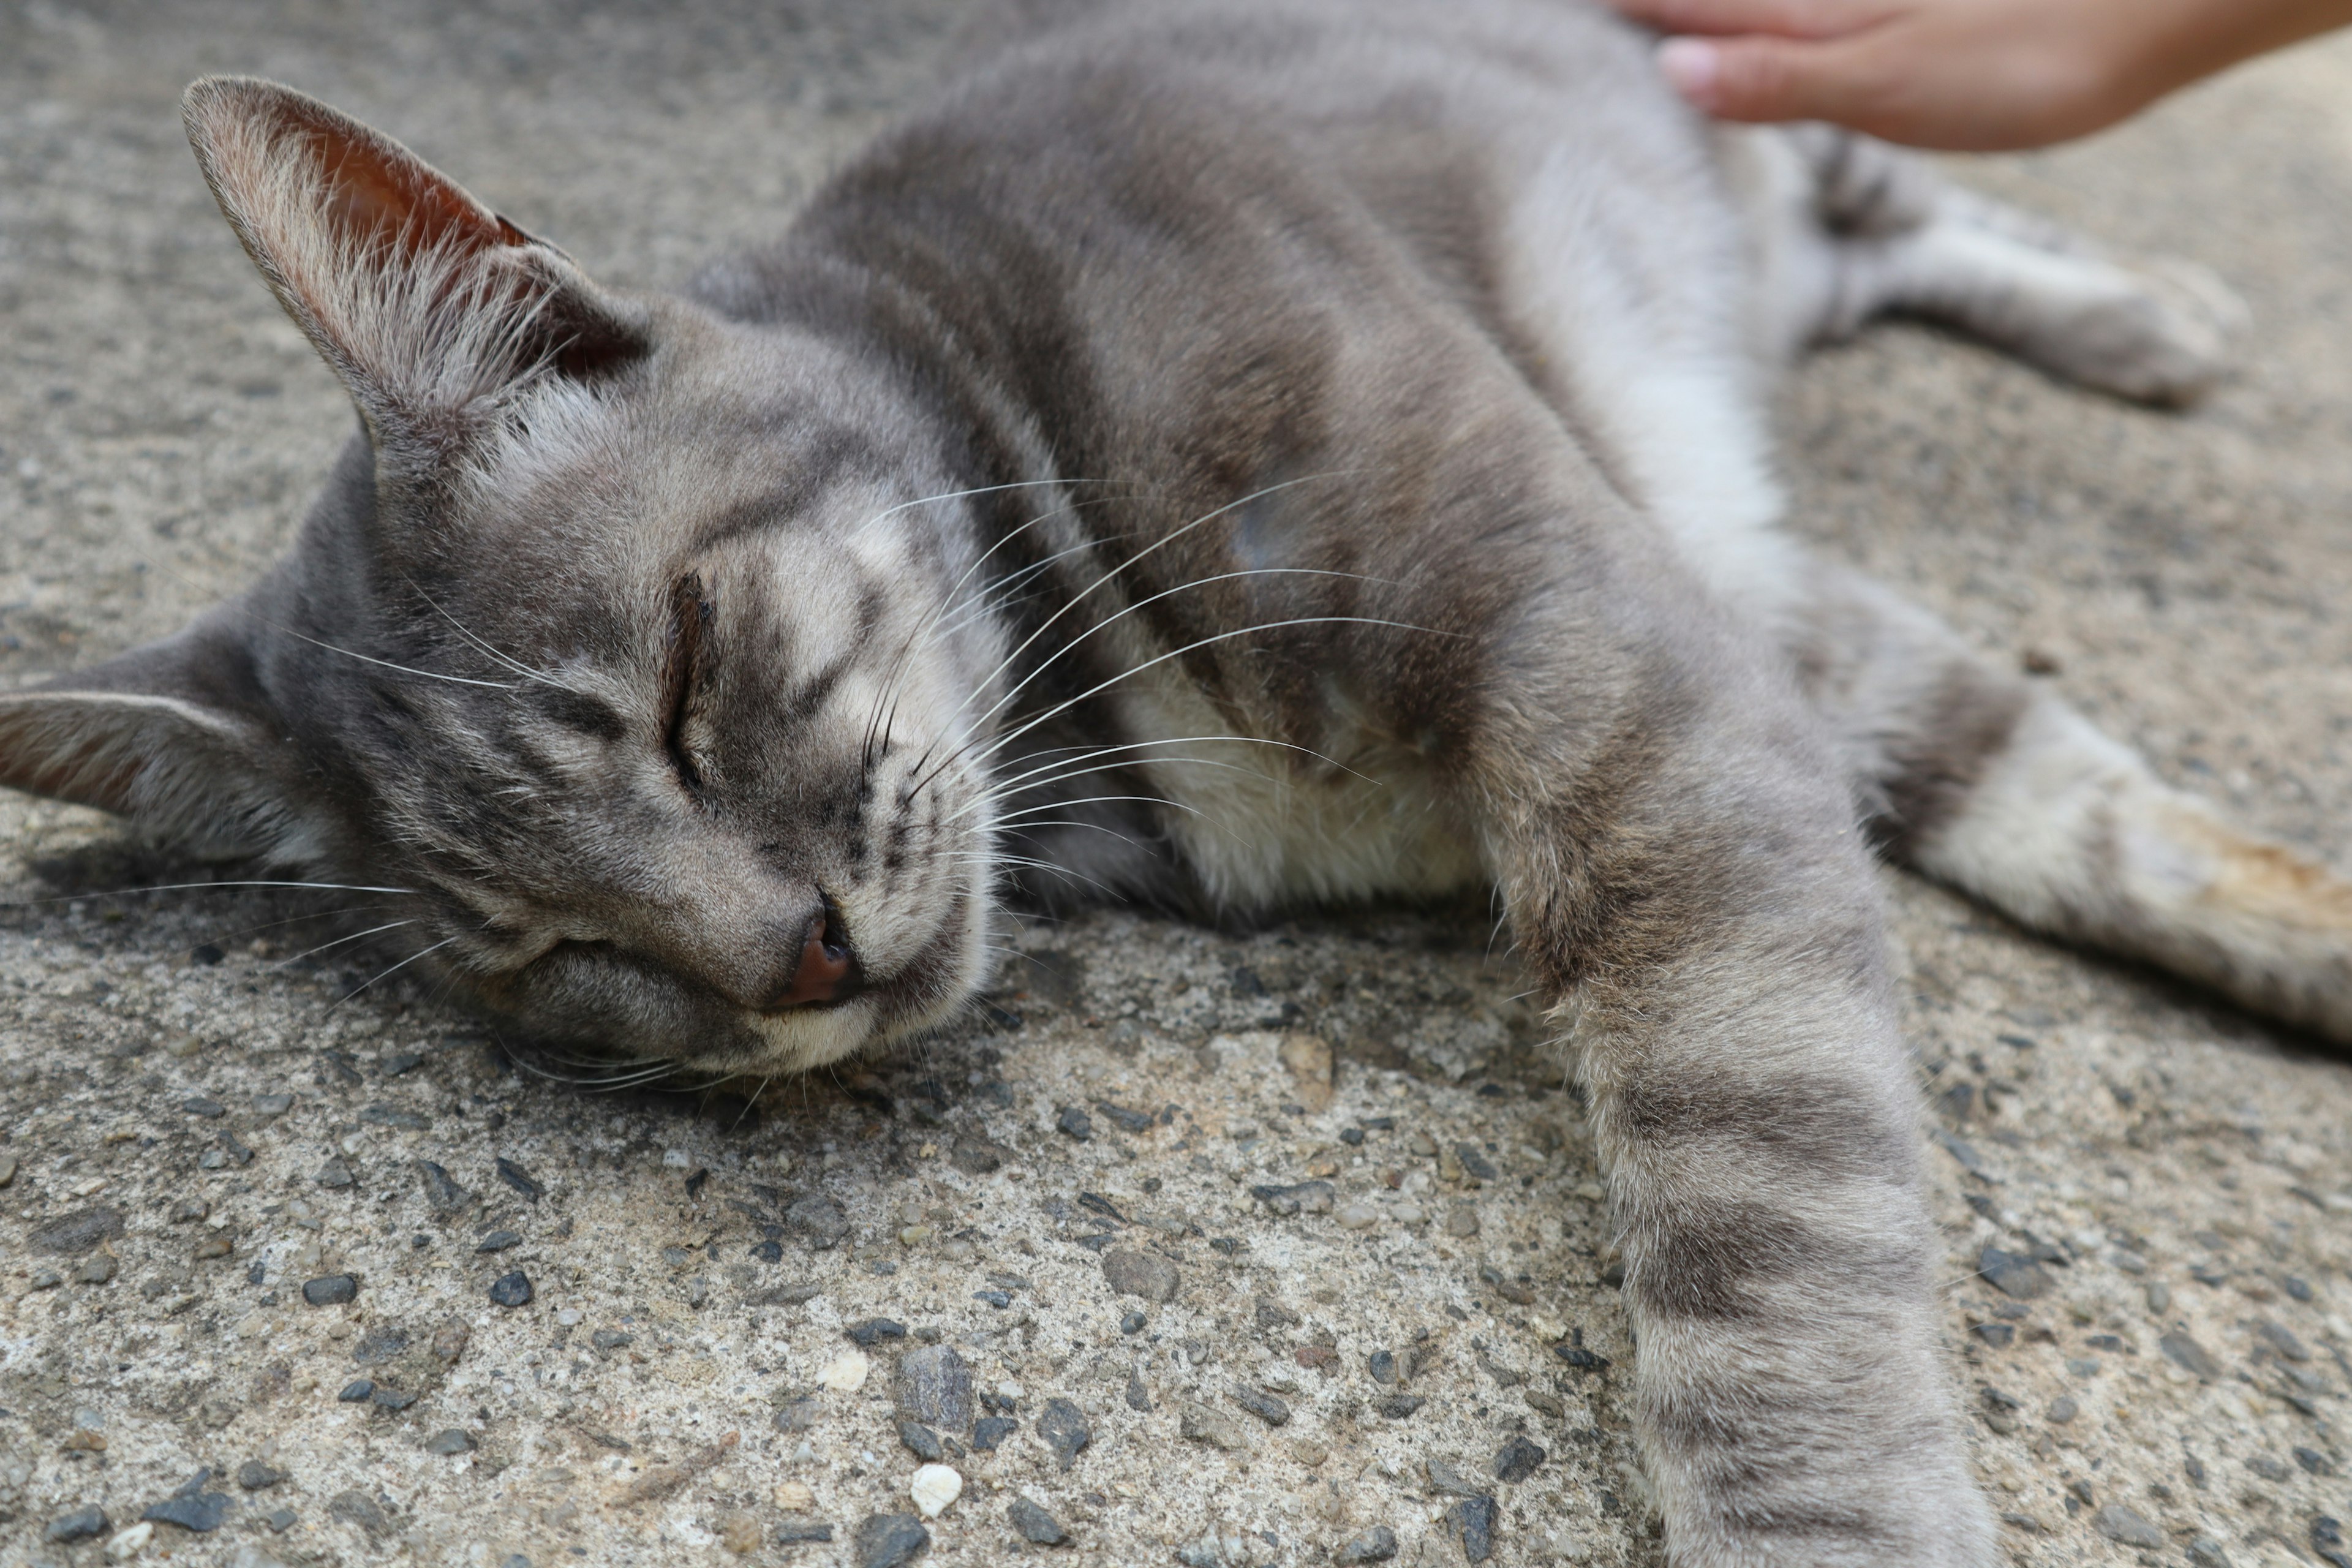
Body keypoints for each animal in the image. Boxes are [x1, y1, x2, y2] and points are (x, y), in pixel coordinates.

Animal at [4, 0, 2352, 1561]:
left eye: (681, 684)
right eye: (544, 952)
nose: (792, 963)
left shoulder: (1629, 682)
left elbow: (1760, 1213)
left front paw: (1827, 1511)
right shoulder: (1736, 610)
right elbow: (2040, 780)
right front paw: (2298, 930)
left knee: (1901, 185)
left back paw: (2154, 316)